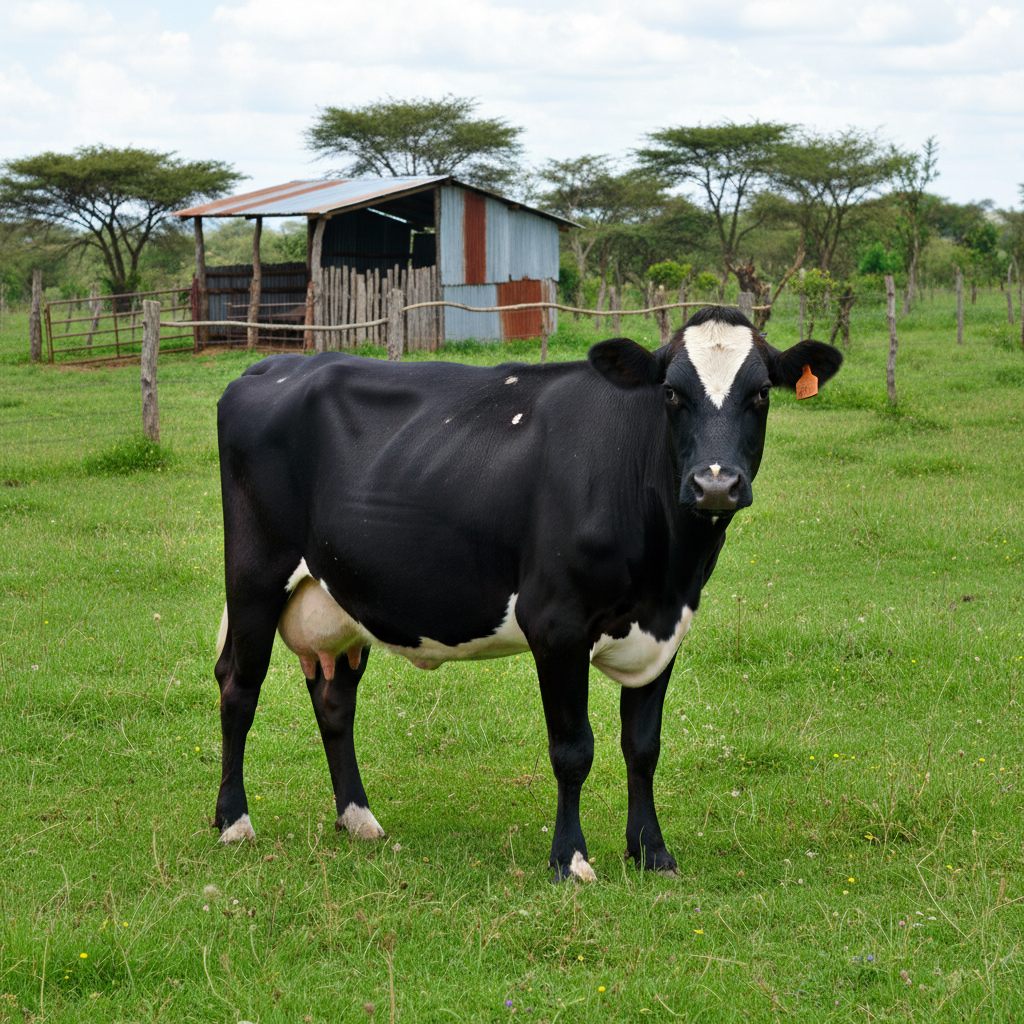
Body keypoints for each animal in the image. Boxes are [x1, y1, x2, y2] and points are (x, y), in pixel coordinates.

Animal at [213, 305, 842, 880]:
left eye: (760, 394)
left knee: (334, 699)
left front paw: (651, 853)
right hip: (253, 574)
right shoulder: (557, 624)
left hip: (343, 596)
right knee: (239, 687)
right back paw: (234, 822)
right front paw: (570, 859)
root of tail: (274, 365)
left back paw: (358, 818)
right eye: (670, 392)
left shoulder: (666, 628)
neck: (668, 570)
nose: (715, 484)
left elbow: (643, 747)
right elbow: (573, 750)